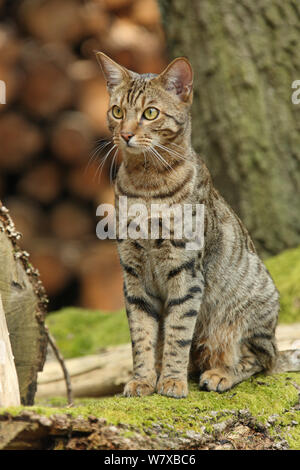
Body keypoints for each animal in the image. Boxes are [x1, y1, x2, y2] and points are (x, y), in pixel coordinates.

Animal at [96, 50, 300, 396]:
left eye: (150, 113)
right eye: (117, 111)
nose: (124, 134)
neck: (145, 184)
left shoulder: (186, 270)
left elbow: (178, 331)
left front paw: (172, 381)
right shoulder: (133, 274)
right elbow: (142, 335)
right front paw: (143, 379)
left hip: (244, 316)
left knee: (260, 360)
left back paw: (220, 374)